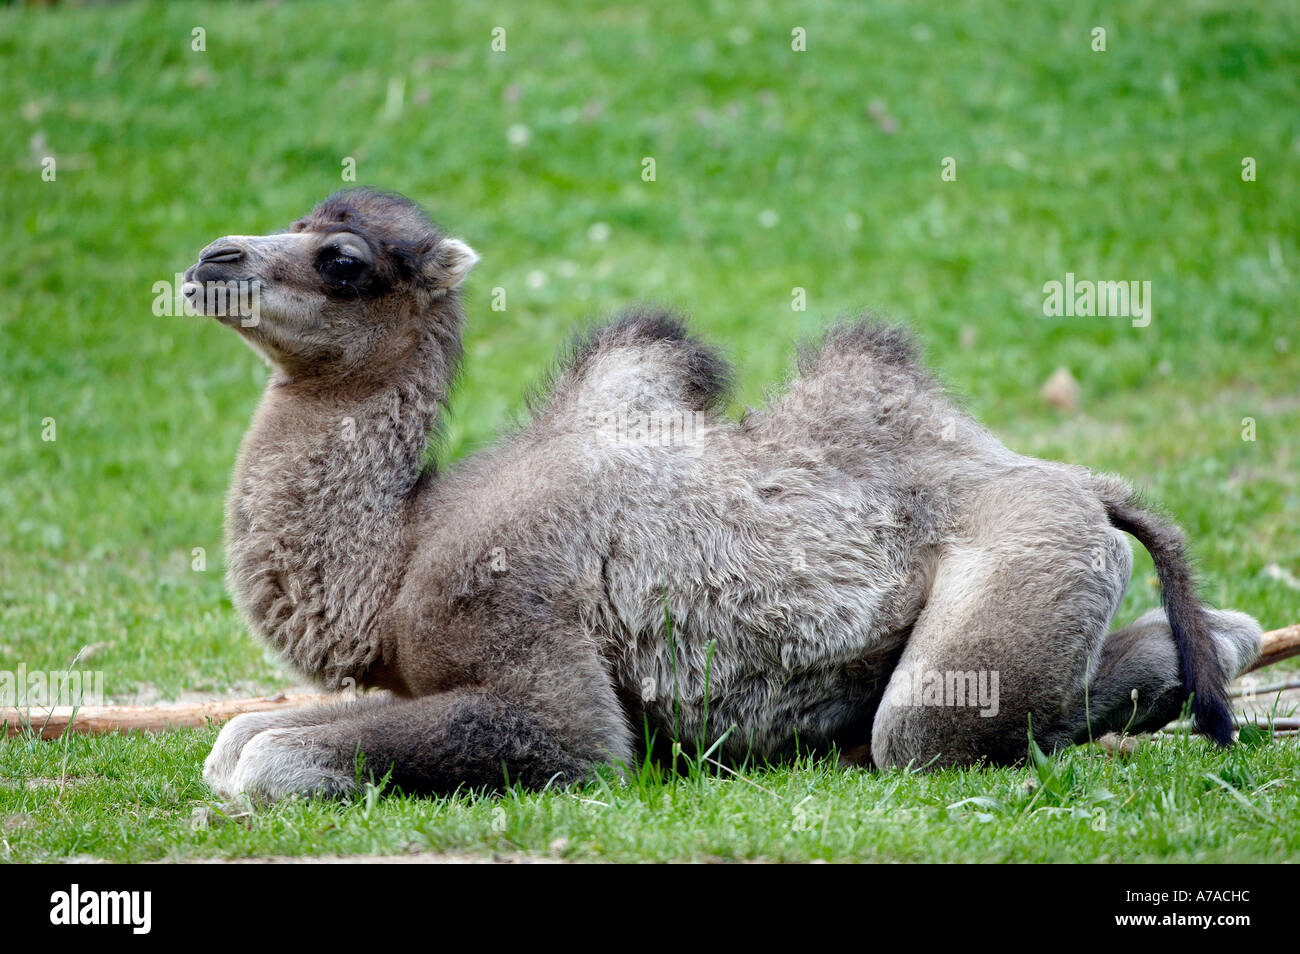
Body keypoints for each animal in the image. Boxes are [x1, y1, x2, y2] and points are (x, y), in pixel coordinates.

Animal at [184, 188, 1262, 805]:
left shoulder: (516, 622)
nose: (210, 260)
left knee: (920, 732)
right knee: (1203, 635)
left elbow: (271, 759)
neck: (404, 549)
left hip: (1018, 561)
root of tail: (1079, 481)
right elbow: (237, 734)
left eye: (342, 261)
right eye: (296, 223)